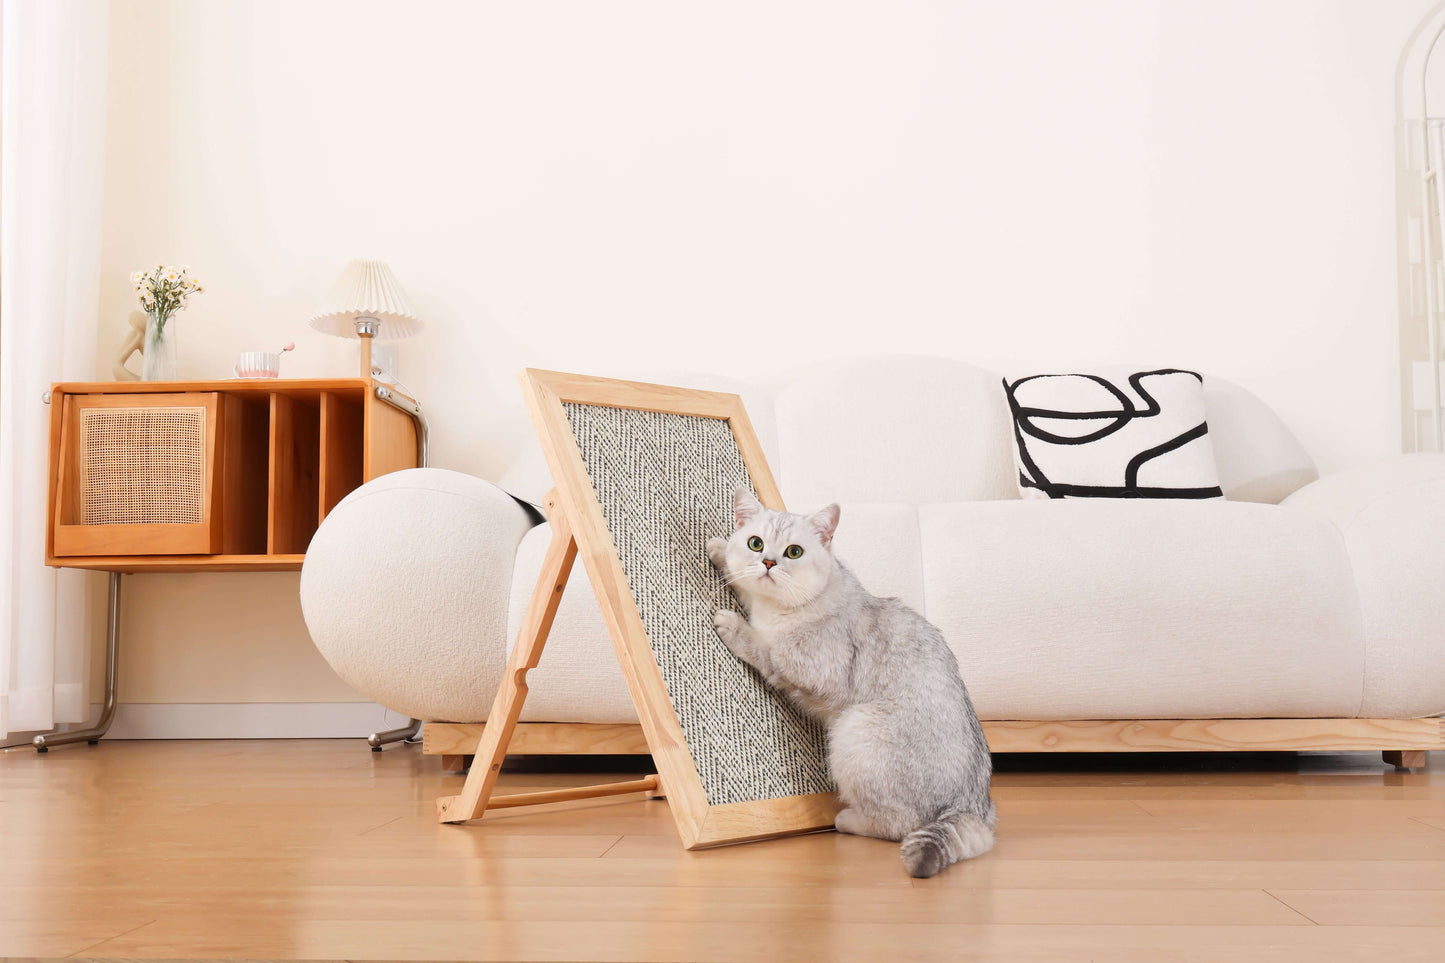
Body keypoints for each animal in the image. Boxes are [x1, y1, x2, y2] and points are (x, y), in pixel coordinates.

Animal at [705, 491, 999, 873]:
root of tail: (973, 808)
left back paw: (846, 820)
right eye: (756, 544)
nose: (768, 562)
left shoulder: (805, 665)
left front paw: (733, 625)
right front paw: (720, 550)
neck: (773, 609)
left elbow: (762, 646)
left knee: (897, 825)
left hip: (856, 728)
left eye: (794, 552)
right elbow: (740, 579)